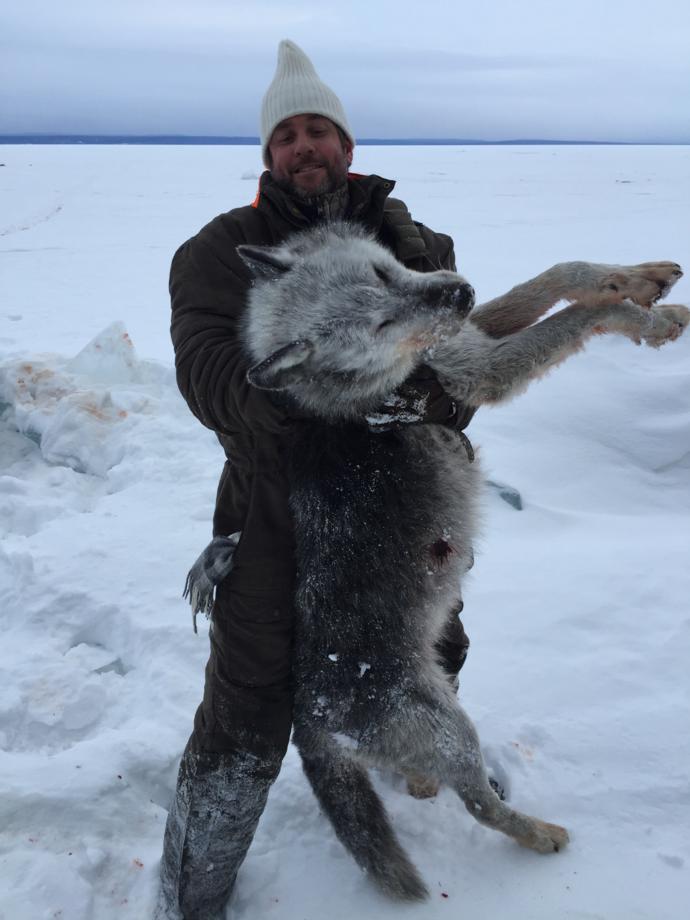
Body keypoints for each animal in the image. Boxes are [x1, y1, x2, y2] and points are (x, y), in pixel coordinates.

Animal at [187, 222, 686, 900]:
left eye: (383, 272)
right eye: (378, 324)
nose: (459, 290)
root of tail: (310, 724)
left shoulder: (472, 332)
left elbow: (560, 274)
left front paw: (645, 280)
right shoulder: (482, 372)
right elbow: (580, 316)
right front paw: (650, 321)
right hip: (453, 731)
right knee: (479, 803)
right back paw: (541, 835)